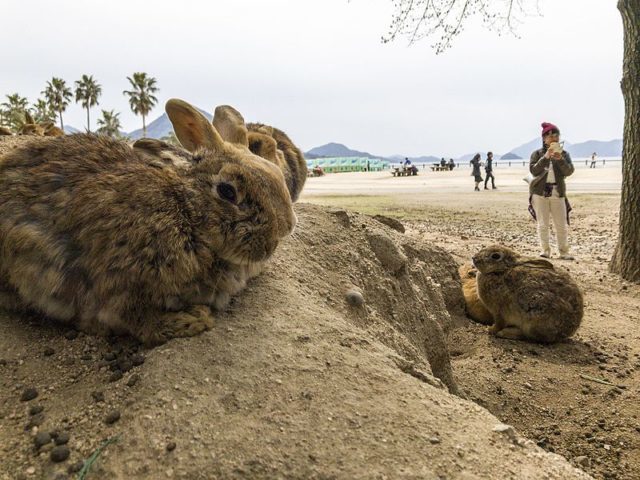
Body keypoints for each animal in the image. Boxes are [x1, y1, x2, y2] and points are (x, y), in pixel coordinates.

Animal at [0, 98, 298, 344]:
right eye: (227, 192)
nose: (283, 231)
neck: (188, 214)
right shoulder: (120, 282)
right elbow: (141, 322)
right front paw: (192, 320)